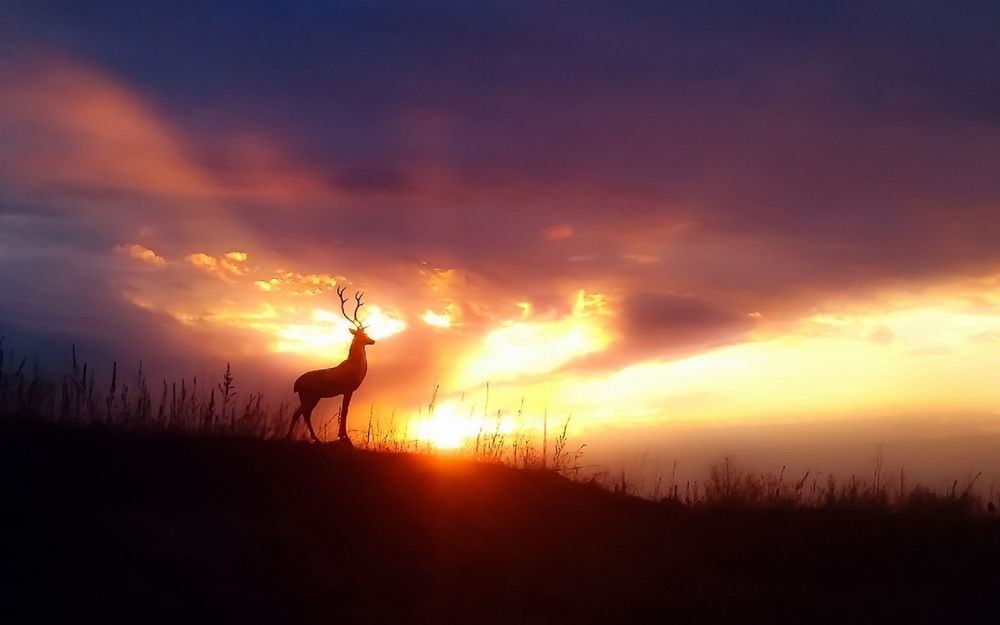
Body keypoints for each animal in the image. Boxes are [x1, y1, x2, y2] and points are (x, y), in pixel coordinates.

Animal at [286, 286, 375, 444]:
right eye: (362, 335)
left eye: (365, 333)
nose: (372, 340)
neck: (357, 367)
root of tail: (296, 385)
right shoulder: (348, 388)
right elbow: (345, 411)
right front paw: (343, 436)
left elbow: (344, 411)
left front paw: (342, 435)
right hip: (310, 394)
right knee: (300, 413)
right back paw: (296, 437)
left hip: (309, 396)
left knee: (304, 413)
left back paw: (312, 439)